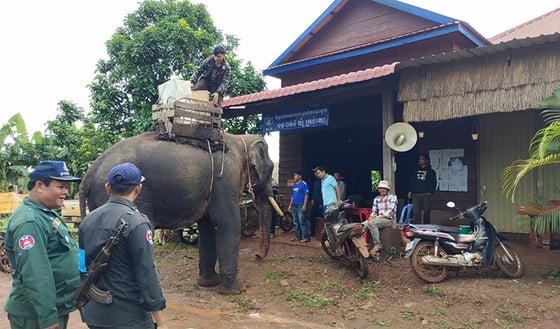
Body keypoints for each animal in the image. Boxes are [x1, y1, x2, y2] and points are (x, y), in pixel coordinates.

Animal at [79, 129, 276, 294]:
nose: (258, 256)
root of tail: (88, 173)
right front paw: (236, 291)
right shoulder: (225, 177)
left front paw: (209, 283)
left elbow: (207, 226)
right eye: (271, 167)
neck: (240, 139)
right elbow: (226, 222)